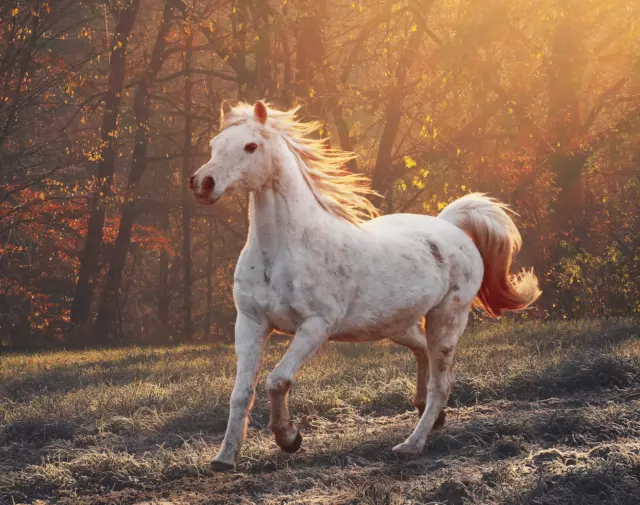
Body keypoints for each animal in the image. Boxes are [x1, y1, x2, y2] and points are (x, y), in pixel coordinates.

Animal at [189, 100, 540, 470]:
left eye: (251, 146)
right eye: (215, 144)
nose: (202, 183)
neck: (284, 249)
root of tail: (450, 226)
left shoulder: (315, 326)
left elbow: (276, 380)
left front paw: (289, 438)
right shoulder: (251, 323)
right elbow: (242, 392)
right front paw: (224, 457)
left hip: (446, 319)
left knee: (441, 384)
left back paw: (411, 444)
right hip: (396, 324)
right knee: (422, 351)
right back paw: (426, 413)